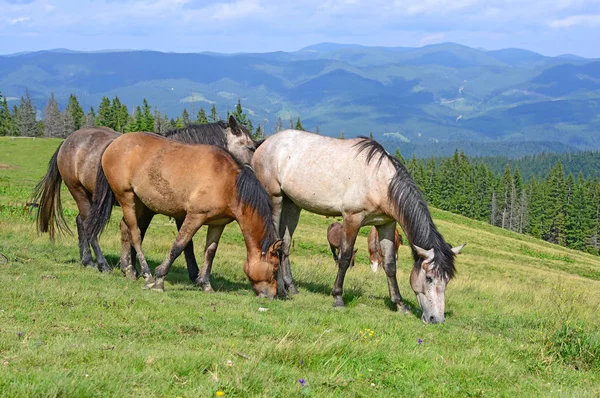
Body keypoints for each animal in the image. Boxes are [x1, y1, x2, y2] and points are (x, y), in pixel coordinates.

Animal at [33, 116, 255, 282]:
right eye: (251, 147)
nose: (253, 173)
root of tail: (68, 141)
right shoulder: (166, 211)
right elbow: (179, 241)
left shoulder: (154, 210)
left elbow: (139, 233)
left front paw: (131, 266)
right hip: (79, 191)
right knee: (89, 226)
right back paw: (102, 264)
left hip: (89, 196)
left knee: (82, 222)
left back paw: (86, 260)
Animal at [85, 132, 282, 296]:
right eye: (275, 268)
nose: (271, 296)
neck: (228, 183)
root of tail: (114, 143)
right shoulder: (195, 216)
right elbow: (178, 246)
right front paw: (159, 279)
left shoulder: (218, 223)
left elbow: (210, 252)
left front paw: (205, 284)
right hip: (126, 196)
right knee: (135, 233)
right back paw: (147, 274)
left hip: (138, 202)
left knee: (125, 228)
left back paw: (129, 270)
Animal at [251, 131, 466, 324]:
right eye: (429, 278)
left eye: (447, 280)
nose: (436, 319)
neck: (379, 180)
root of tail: (265, 142)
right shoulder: (352, 219)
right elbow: (345, 257)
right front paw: (338, 297)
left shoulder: (386, 224)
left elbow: (390, 264)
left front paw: (399, 304)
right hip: (275, 199)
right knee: (276, 241)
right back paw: (280, 289)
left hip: (292, 204)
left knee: (285, 244)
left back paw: (292, 287)